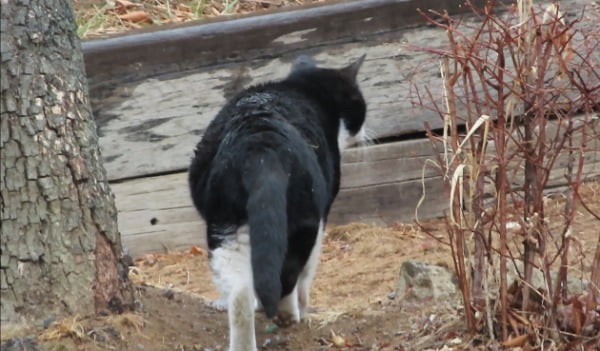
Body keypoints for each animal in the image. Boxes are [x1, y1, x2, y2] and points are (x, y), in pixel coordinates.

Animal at [189, 55, 366, 351]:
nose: (364, 133)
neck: (303, 88)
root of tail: (260, 145)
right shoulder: (322, 216)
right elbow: (309, 268)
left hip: (224, 225)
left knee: (240, 291)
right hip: (303, 218)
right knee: (289, 271)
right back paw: (288, 313)